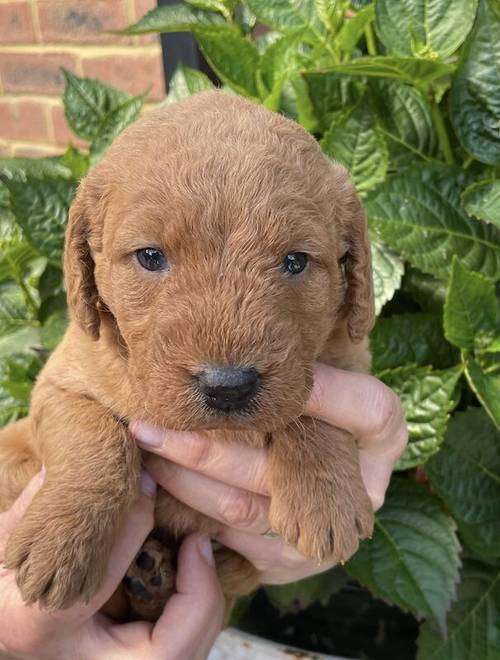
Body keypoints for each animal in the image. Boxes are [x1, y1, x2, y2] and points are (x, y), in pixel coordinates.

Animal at [0, 90, 376, 620]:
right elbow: (94, 439)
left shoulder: (350, 354)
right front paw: (60, 541)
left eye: (296, 261)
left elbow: (314, 407)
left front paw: (326, 502)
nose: (227, 387)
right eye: (150, 256)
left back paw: (152, 576)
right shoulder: (59, 382)